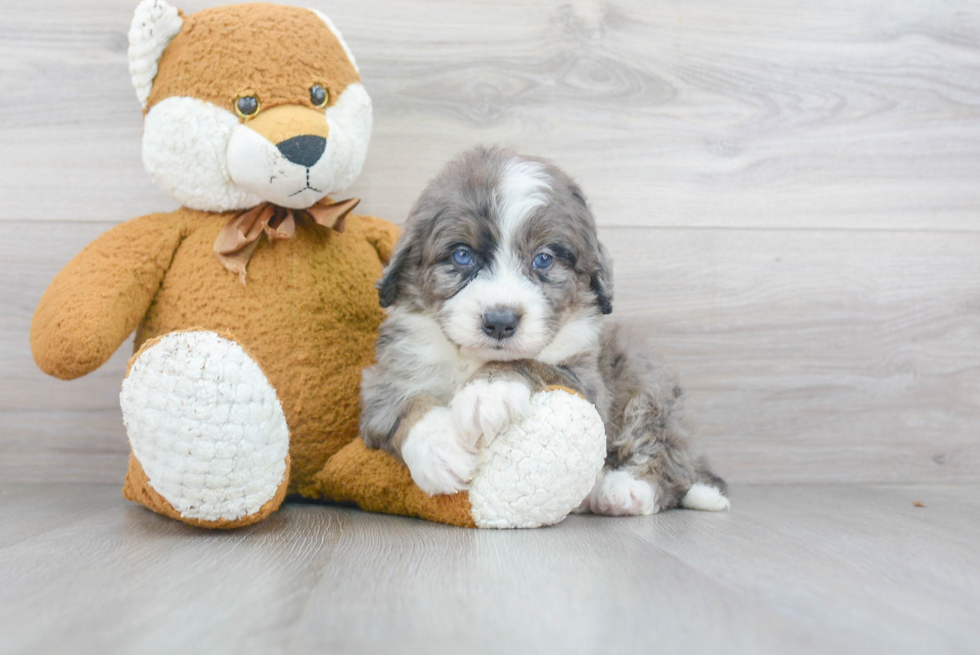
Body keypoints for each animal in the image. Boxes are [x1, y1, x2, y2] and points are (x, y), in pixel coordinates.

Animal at [360, 146, 728, 516]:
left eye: (544, 259)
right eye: (462, 255)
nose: (499, 321)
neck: (470, 358)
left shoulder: (588, 382)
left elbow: (530, 362)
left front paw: (488, 390)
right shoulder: (382, 379)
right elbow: (403, 405)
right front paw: (440, 449)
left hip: (648, 383)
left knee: (667, 453)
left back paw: (627, 489)